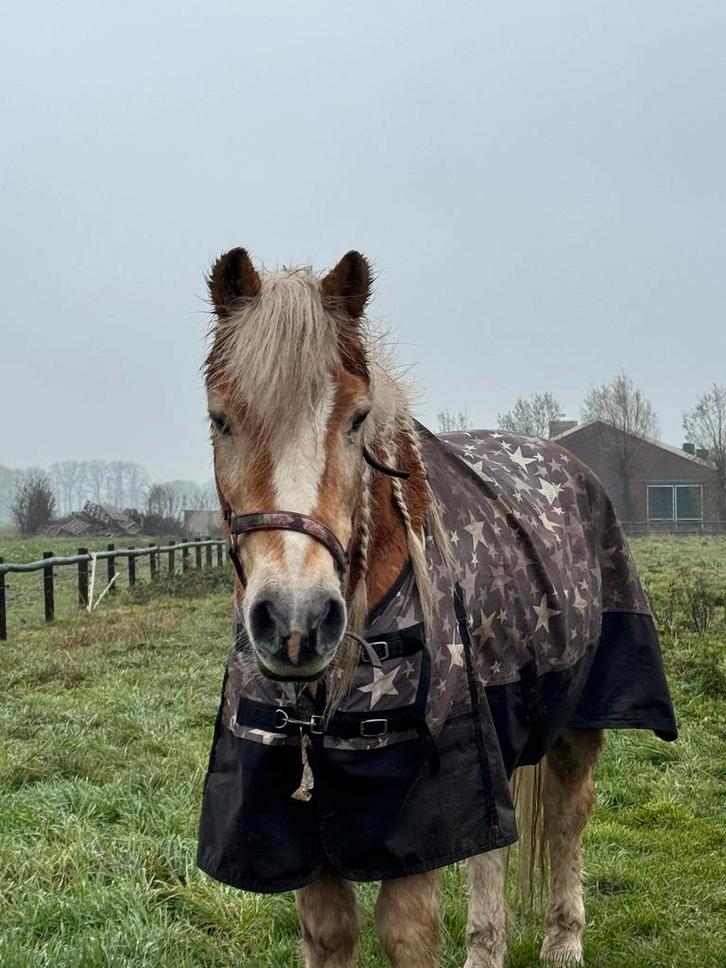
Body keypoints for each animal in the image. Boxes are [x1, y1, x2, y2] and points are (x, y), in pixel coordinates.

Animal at [197, 248, 676, 967]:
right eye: (220, 419)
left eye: (358, 418)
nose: (296, 622)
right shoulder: (296, 824)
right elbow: (330, 931)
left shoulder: (417, 813)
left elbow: (409, 932)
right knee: (493, 850)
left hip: (577, 717)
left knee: (569, 815)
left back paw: (563, 940)